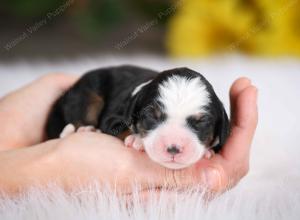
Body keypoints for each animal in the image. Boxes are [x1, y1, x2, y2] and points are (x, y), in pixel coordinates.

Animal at [46, 65, 230, 168]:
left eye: (201, 123)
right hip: (87, 94)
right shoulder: (113, 118)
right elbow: (122, 129)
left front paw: (207, 151)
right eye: (151, 116)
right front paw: (138, 140)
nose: (173, 148)